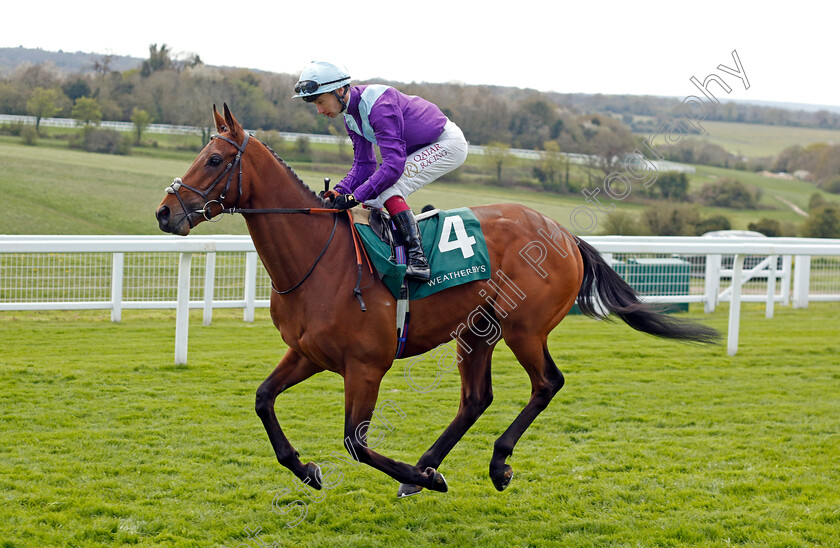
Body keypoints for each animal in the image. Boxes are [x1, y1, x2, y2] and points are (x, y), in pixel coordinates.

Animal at [156, 104, 716, 496]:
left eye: (213, 159)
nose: (165, 213)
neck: (319, 259)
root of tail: (563, 233)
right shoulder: (307, 353)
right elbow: (263, 399)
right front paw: (307, 469)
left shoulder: (366, 366)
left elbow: (355, 442)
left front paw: (422, 478)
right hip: (477, 330)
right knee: (475, 399)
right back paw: (425, 468)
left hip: (524, 327)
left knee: (546, 383)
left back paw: (489, 464)